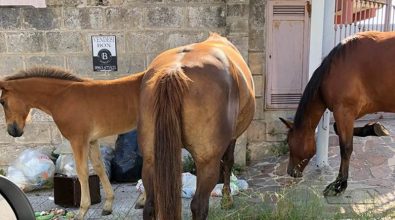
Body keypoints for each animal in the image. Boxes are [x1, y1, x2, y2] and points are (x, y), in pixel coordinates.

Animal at [0, 33, 255, 220]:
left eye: (1, 101)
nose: (13, 131)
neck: (64, 96)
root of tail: (173, 73)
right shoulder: (91, 140)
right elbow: (99, 169)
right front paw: (107, 204)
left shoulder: (78, 140)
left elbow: (83, 172)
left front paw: (82, 211)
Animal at [280, 30, 395, 196]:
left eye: (289, 142)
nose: (291, 172)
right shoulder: (350, 113)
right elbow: (337, 130)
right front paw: (374, 128)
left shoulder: (344, 111)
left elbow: (345, 148)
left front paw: (340, 184)